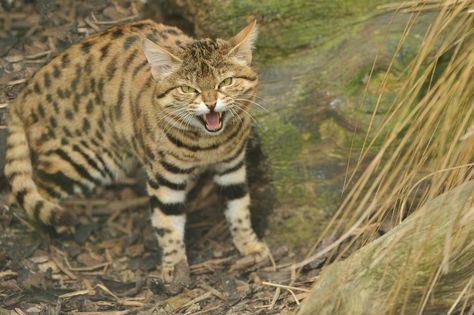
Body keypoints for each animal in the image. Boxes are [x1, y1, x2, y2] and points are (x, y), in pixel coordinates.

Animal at [3, 19, 268, 286]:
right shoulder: (164, 178)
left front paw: (250, 246)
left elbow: (239, 208)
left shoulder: (231, 166)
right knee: (28, 195)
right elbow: (167, 222)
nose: (211, 104)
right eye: (186, 89)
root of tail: (22, 96)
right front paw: (175, 267)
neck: (208, 144)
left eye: (226, 82)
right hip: (84, 161)